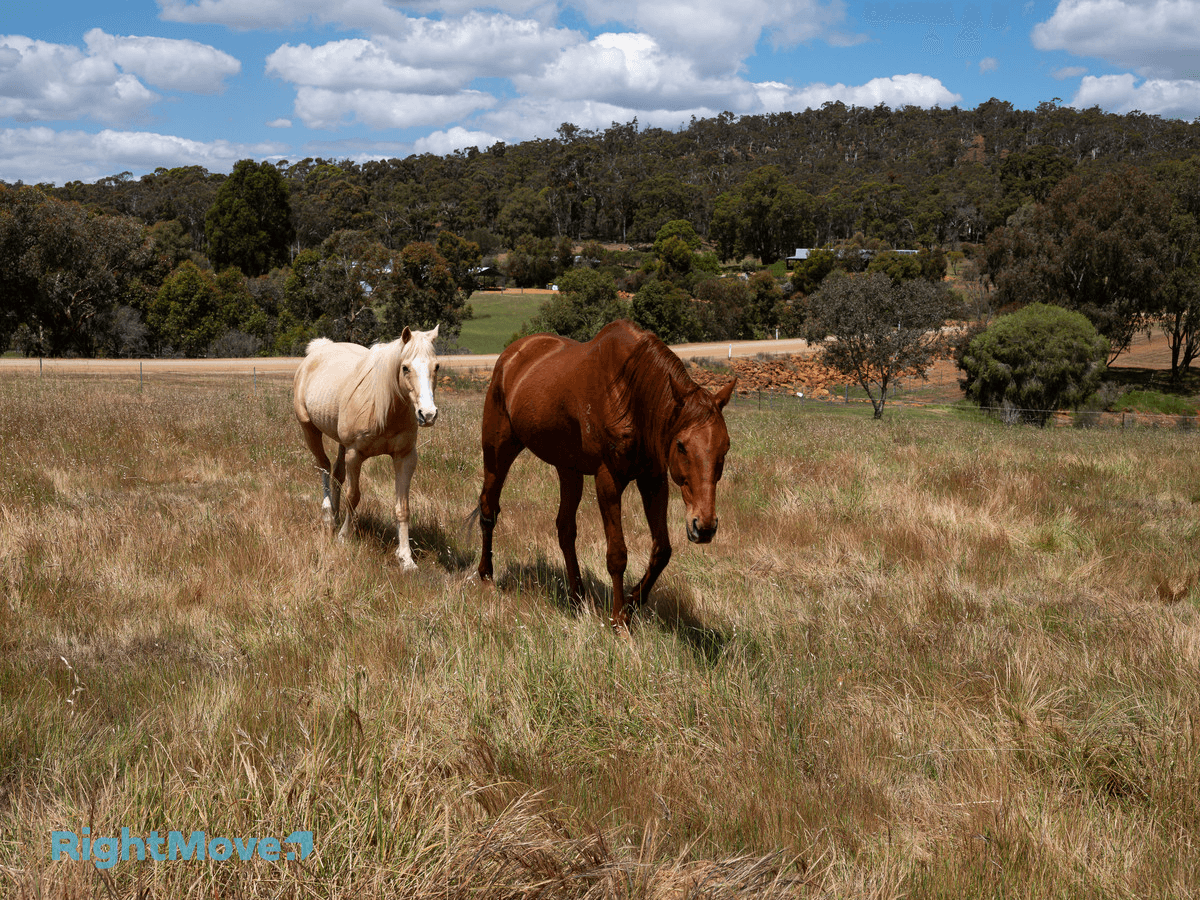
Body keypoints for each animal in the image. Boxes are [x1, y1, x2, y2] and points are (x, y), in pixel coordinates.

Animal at [292, 326, 444, 571]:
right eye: (405, 367)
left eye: (436, 366)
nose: (428, 414)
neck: (385, 406)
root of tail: (319, 349)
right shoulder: (355, 455)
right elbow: (353, 496)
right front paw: (344, 536)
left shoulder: (405, 457)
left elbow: (402, 508)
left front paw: (406, 558)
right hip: (309, 429)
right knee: (323, 467)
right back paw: (328, 517)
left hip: (341, 443)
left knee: (337, 473)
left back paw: (335, 514)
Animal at [472, 321, 734, 628]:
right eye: (681, 445)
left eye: (726, 446)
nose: (703, 527)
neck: (629, 394)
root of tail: (512, 354)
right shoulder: (608, 481)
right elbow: (617, 554)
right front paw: (619, 619)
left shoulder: (653, 480)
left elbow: (662, 550)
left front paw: (633, 604)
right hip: (498, 452)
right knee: (489, 509)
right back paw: (487, 576)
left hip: (568, 470)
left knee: (565, 529)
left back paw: (577, 597)